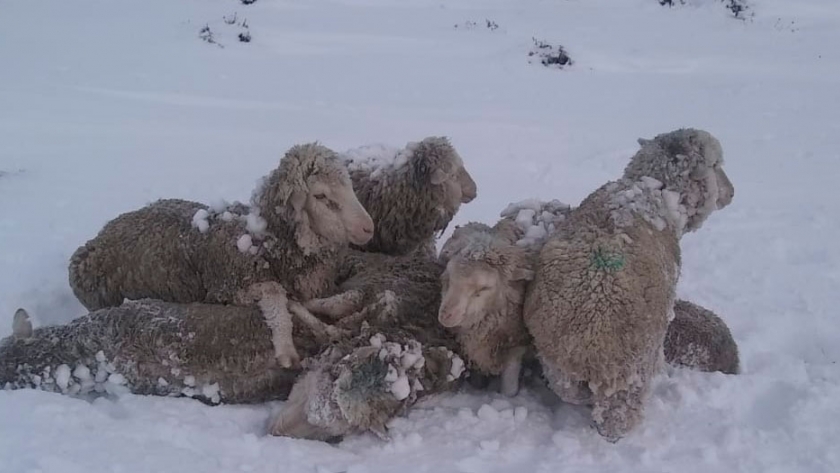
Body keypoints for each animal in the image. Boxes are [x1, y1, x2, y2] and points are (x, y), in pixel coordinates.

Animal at [523, 128, 735, 441]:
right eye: (715, 164)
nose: (732, 193)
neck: (653, 189)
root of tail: (592, 326)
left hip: (558, 361)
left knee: (570, 391)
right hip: (628, 372)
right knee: (617, 418)